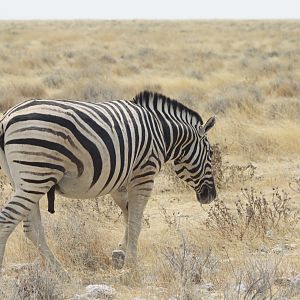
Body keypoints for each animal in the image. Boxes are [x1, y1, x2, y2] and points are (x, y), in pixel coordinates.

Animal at [0, 90, 216, 276]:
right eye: (211, 154)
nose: (211, 196)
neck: (161, 132)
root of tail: (7, 117)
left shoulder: (120, 181)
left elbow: (129, 216)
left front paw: (119, 254)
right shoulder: (144, 175)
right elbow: (136, 221)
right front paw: (132, 265)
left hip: (24, 181)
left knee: (32, 229)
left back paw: (62, 273)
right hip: (37, 175)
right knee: (7, 220)